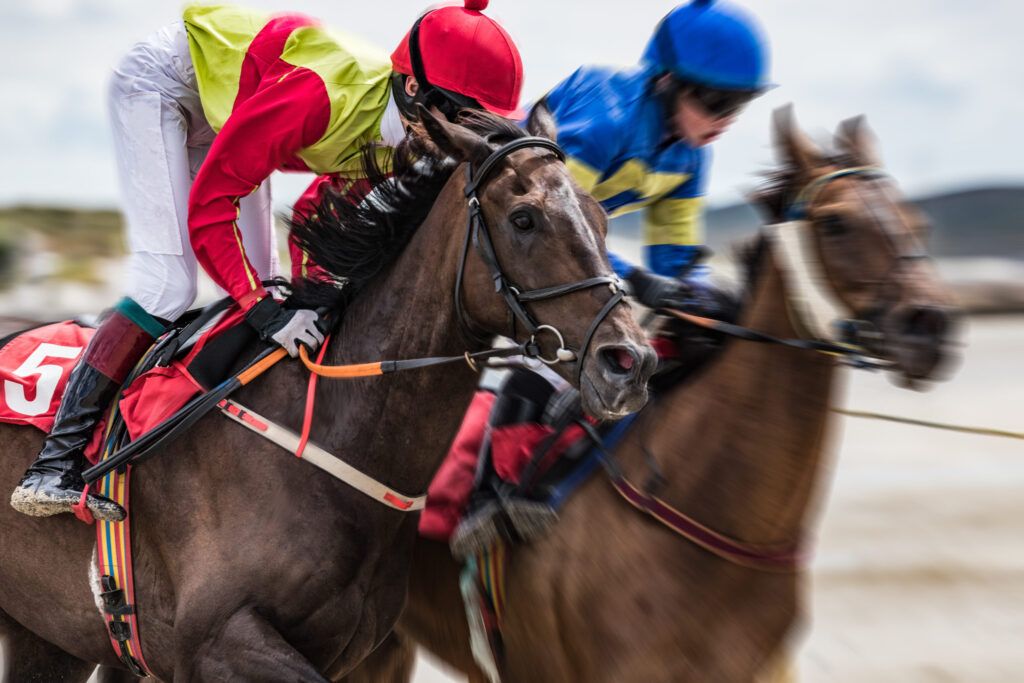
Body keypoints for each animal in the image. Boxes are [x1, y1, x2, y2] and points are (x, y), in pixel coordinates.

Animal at [0, 109, 655, 679]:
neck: (332, 441)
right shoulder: (214, 642)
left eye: (601, 218)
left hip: (47, 639)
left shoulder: (354, 652)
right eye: (524, 218)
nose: (631, 361)